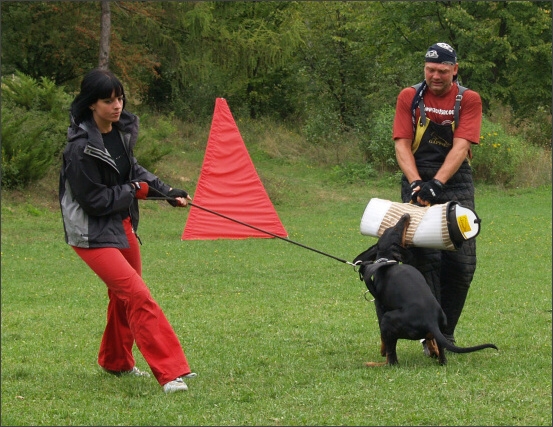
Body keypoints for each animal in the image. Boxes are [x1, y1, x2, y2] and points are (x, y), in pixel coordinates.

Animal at [354, 212, 496, 366]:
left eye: (395, 229)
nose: (406, 215)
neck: (386, 261)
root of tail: (431, 321)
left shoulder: (380, 308)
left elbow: (383, 340)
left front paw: (382, 350)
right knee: (441, 355)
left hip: (388, 319)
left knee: (392, 361)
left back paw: (375, 364)